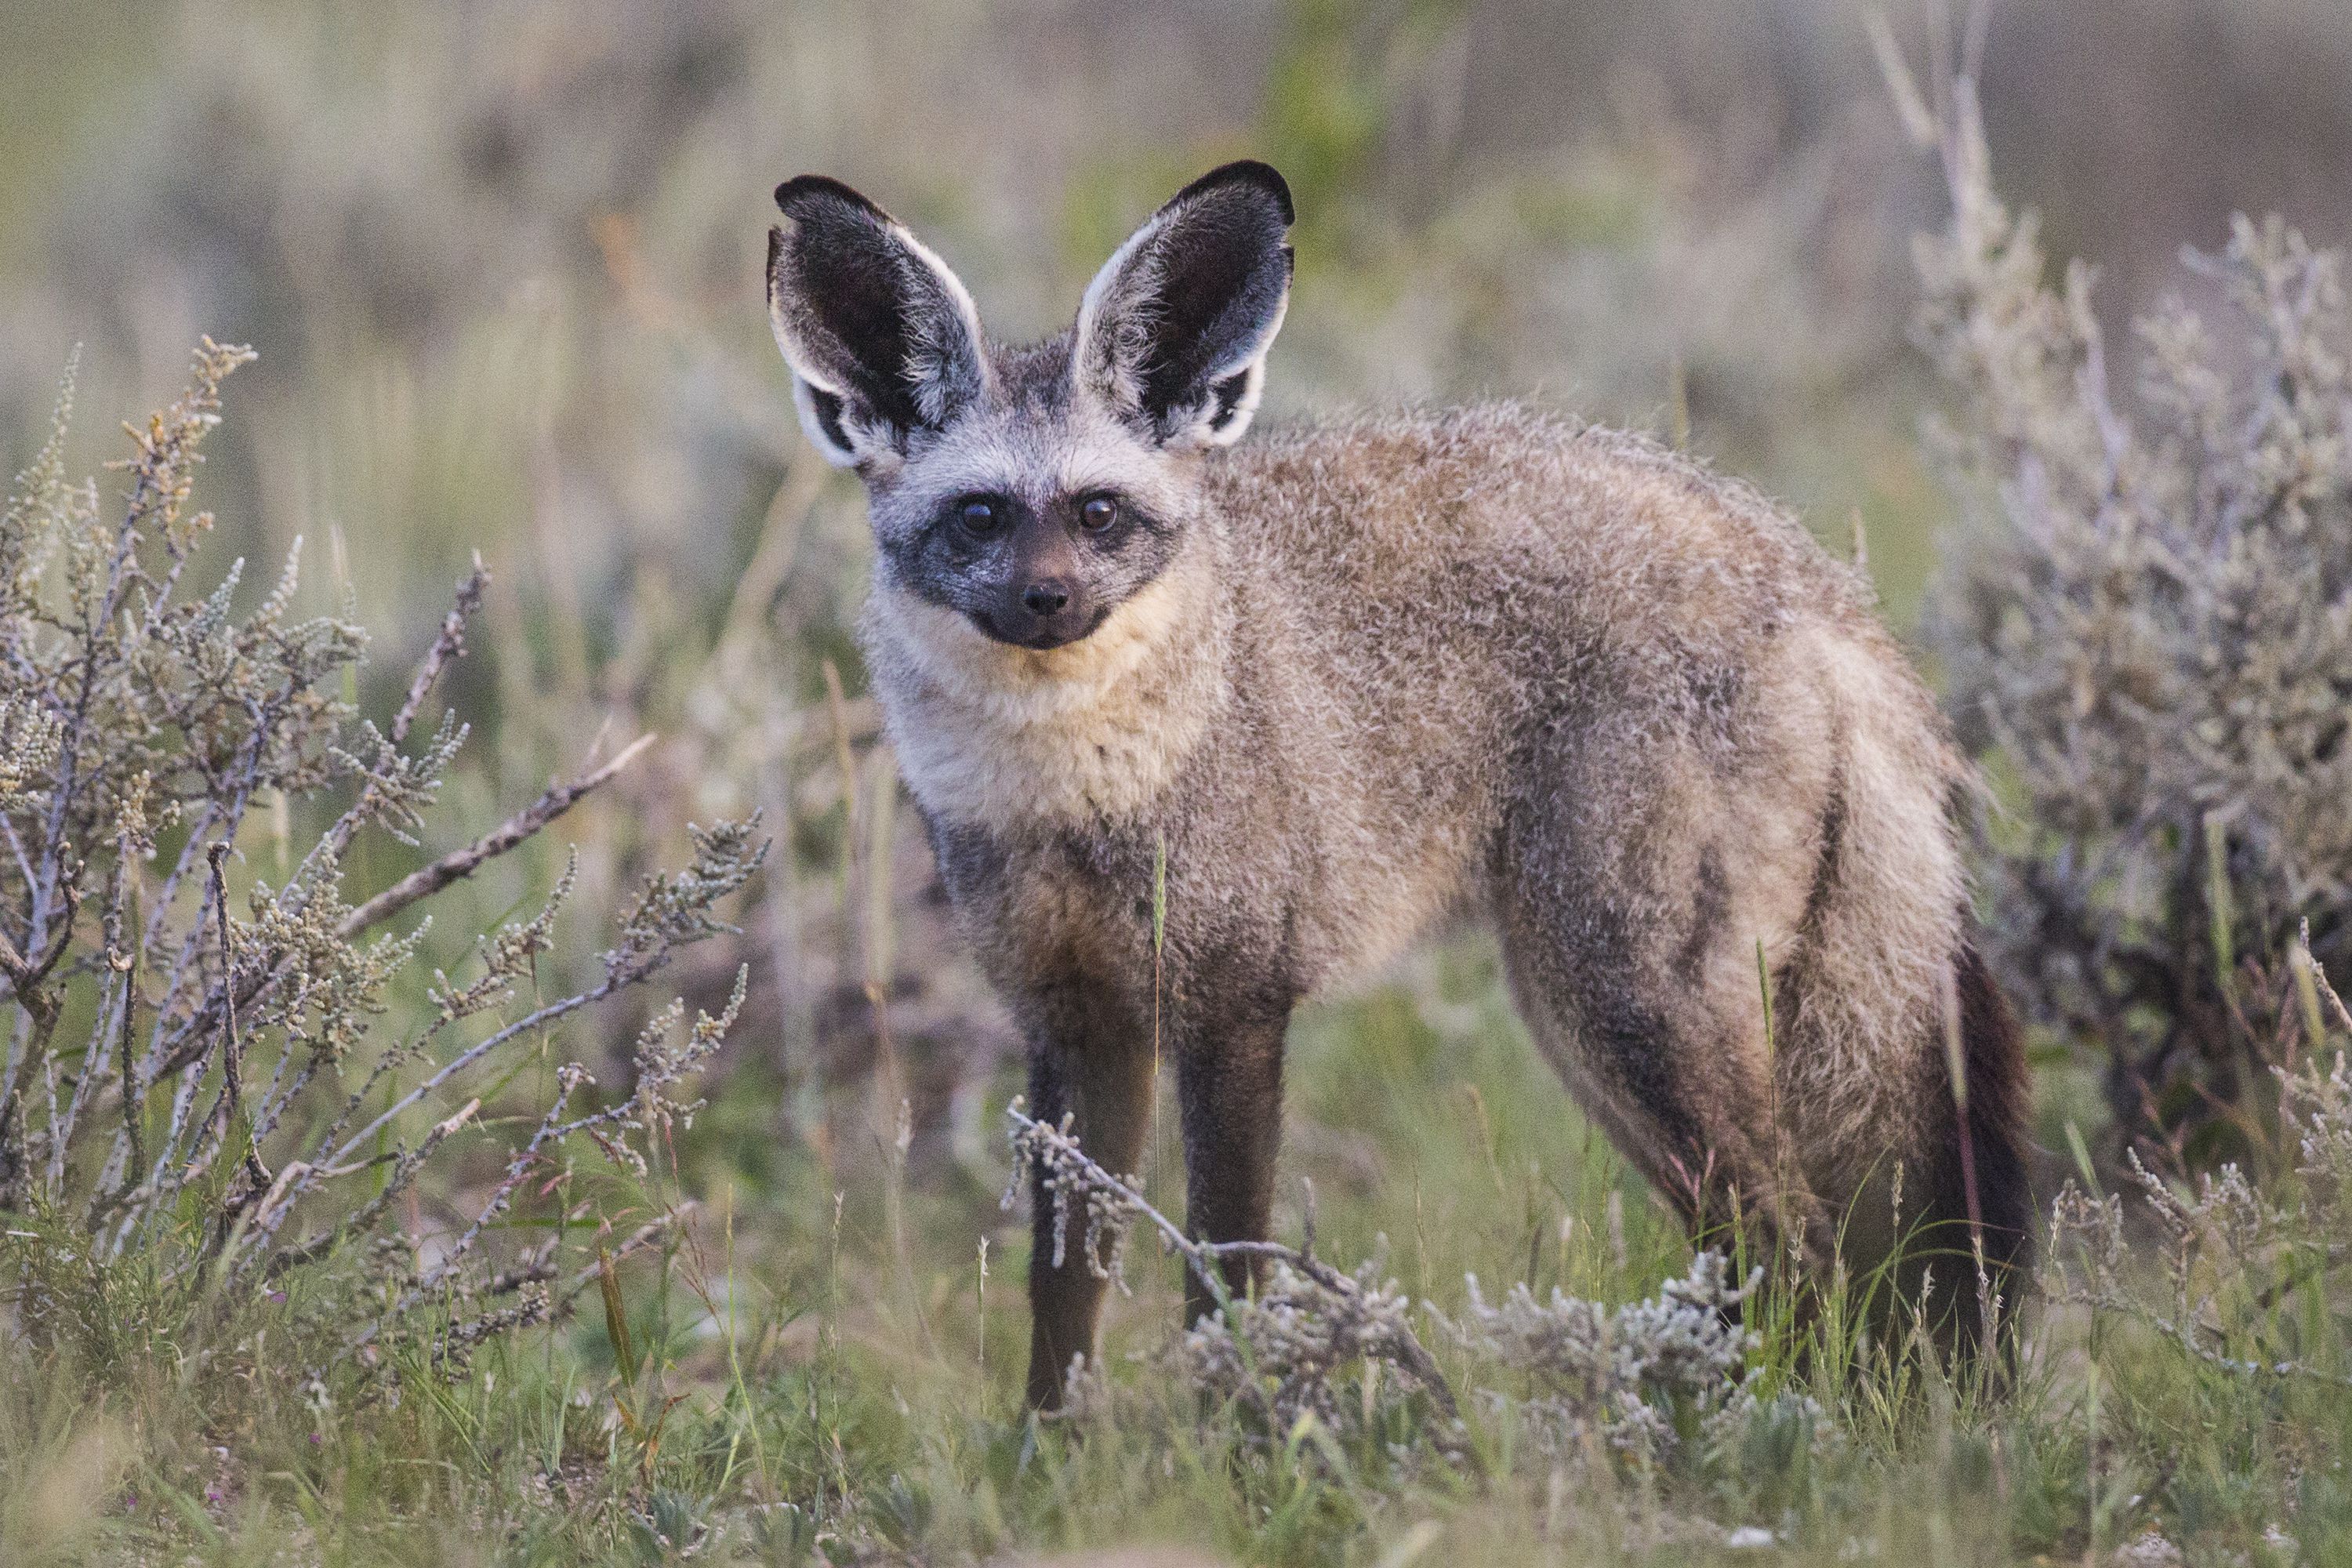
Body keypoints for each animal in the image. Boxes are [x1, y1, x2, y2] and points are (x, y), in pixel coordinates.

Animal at [767, 159, 2023, 1410]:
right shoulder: (1077, 1023)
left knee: (1797, 1246)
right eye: (980, 515)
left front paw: (1238, 1437)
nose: (1048, 601)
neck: (1075, 796)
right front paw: (1051, 1446)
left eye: (1098, 513)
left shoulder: (1235, 1004)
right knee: (1762, 1254)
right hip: (1598, 1034)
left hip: (1624, 1007)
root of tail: (1808, 577)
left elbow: (1225, 1274)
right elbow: (1064, 1297)